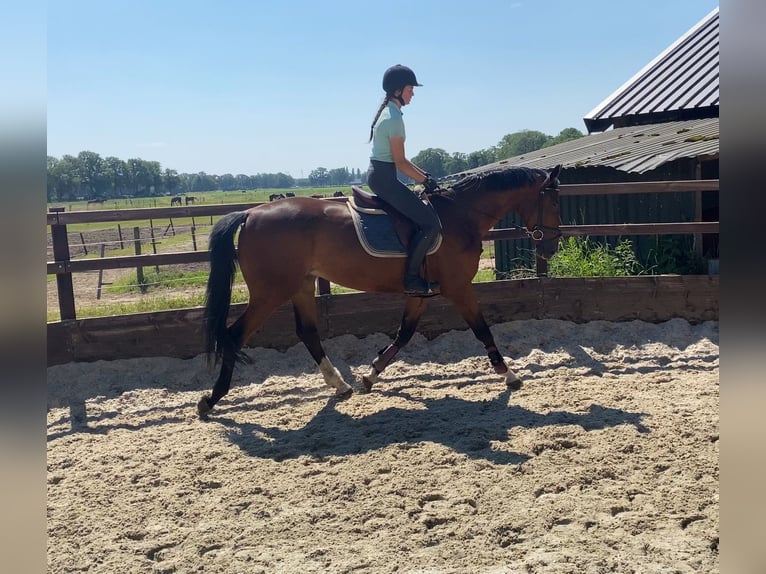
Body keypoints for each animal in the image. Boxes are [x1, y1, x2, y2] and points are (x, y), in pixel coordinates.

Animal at [200, 164, 564, 420]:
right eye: (554, 201)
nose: (550, 247)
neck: (459, 216)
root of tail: (250, 213)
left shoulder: (418, 294)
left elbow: (403, 335)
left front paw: (370, 375)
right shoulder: (459, 288)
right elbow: (482, 329)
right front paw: (509, 375)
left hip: (301, 286)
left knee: (308, 332)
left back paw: (341, 385)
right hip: (271, 292)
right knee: (234, 335)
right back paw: (211, 399)